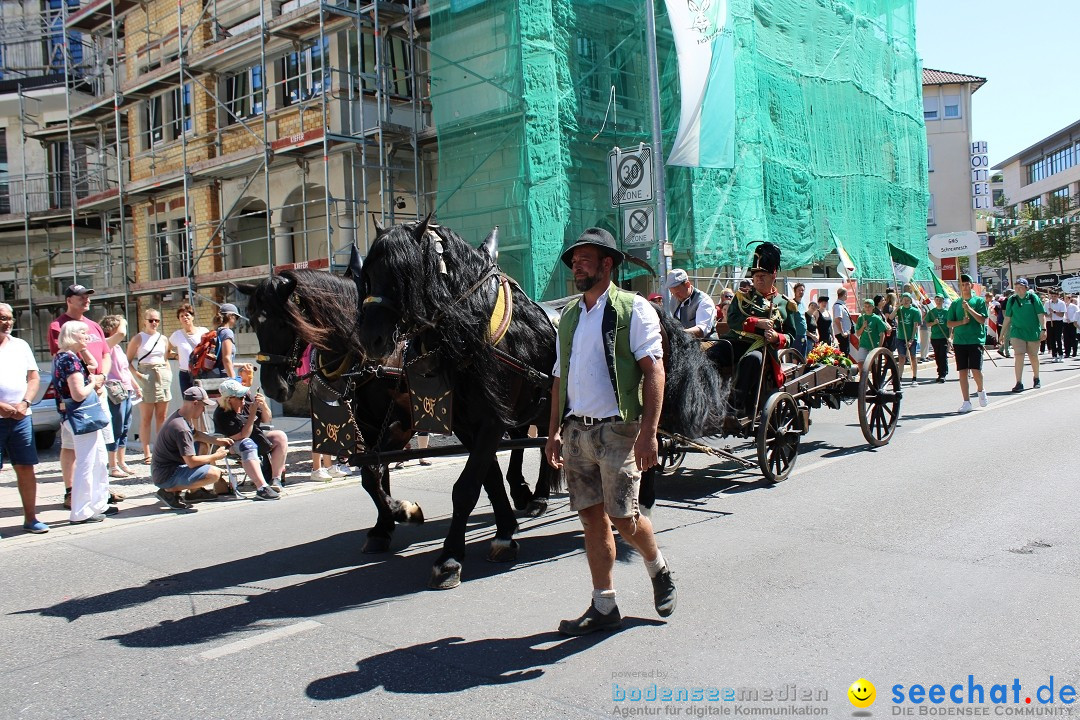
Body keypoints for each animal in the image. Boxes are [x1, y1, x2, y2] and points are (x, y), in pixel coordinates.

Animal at [354, 220, 561, 591]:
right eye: (368, 276)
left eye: (401, 275)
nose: (370, 339)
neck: (474, 330)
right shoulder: (466, 424)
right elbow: (487, 478)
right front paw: (505, 532)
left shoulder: (492, 420)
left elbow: (466, 487)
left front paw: (449, 558)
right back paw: (534, 496)